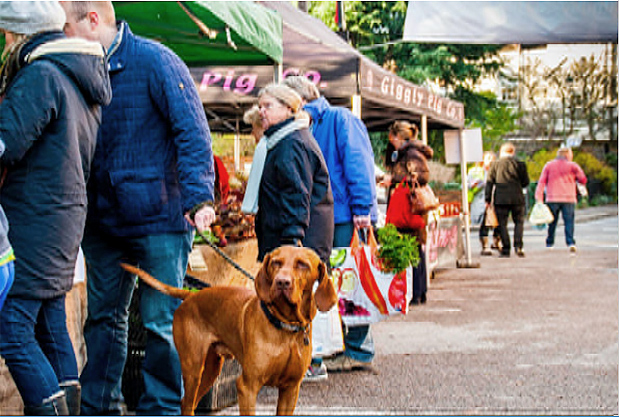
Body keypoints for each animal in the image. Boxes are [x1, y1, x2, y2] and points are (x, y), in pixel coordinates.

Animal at [119, 245, 336, 414]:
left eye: (302, 265)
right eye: (276, 262)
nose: (282, 282)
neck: (284, 326)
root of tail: (191, 295)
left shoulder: (290, 389)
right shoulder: (247, 386)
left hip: (211, 370)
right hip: (193, 369)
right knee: (186, 404)